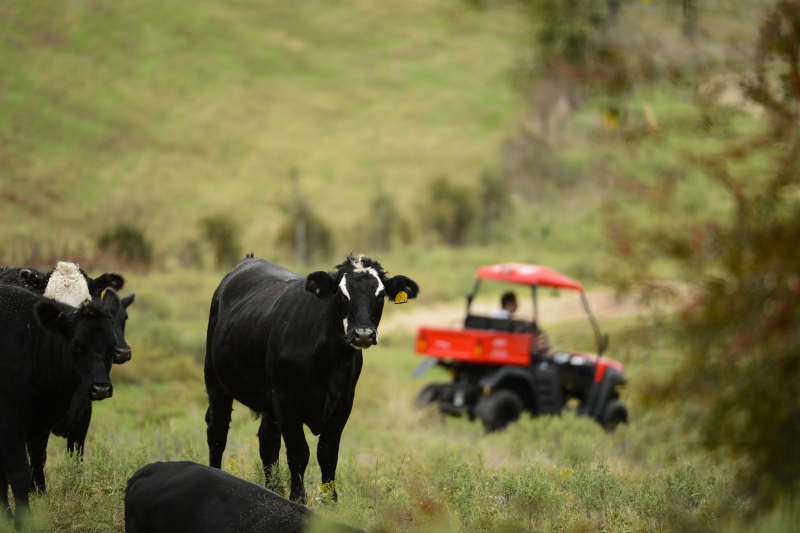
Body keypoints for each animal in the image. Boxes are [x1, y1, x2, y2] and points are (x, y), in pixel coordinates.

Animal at [0, 284, 120, 528]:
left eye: (112, 347)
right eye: (77, 346)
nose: (101, 388)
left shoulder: (39, 424)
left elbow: (36, 462)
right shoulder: (9, 423)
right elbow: (19, 473)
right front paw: (22, 521)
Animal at [205, 254, 418, 502]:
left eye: (380, 295)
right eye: (341, 295)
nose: (363, 334)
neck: (329, 360)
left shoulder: (343, 402)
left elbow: (327, 453)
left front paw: (330, 499)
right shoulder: (285, 400)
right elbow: (299, 453)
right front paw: (298, 498)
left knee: (268, 442)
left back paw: (273, 490)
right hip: (215, 381)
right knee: (217, 431)